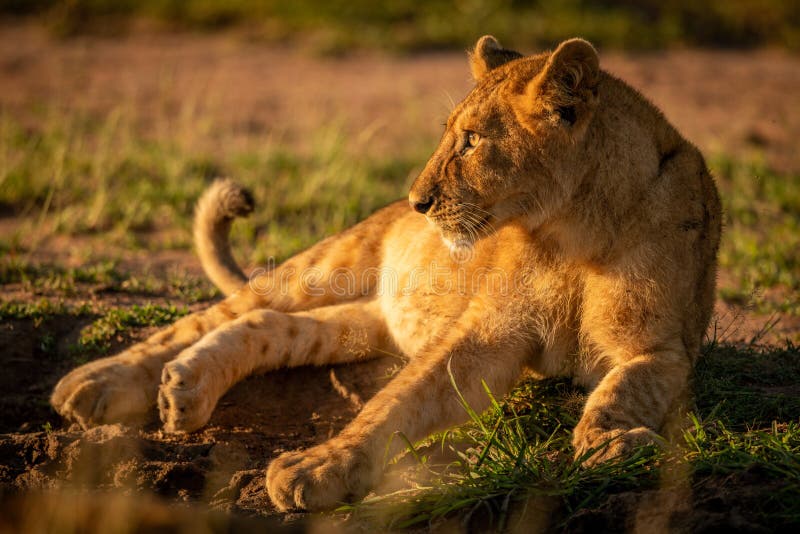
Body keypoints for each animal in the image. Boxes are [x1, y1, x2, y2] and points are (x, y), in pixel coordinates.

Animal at [50, 36, 721, 511]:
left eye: (472, 141)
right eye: (451, 135)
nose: (418, 202)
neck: (571, 234)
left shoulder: (663, 348)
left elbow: (619, 392)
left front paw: (610, 446)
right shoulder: (488, 331)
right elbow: (399, 399)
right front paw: (318, 468)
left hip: (363, 320)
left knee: (265, 325)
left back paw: (185, 390)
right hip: (329, 264)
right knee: (208, 317)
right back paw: (95, 384)